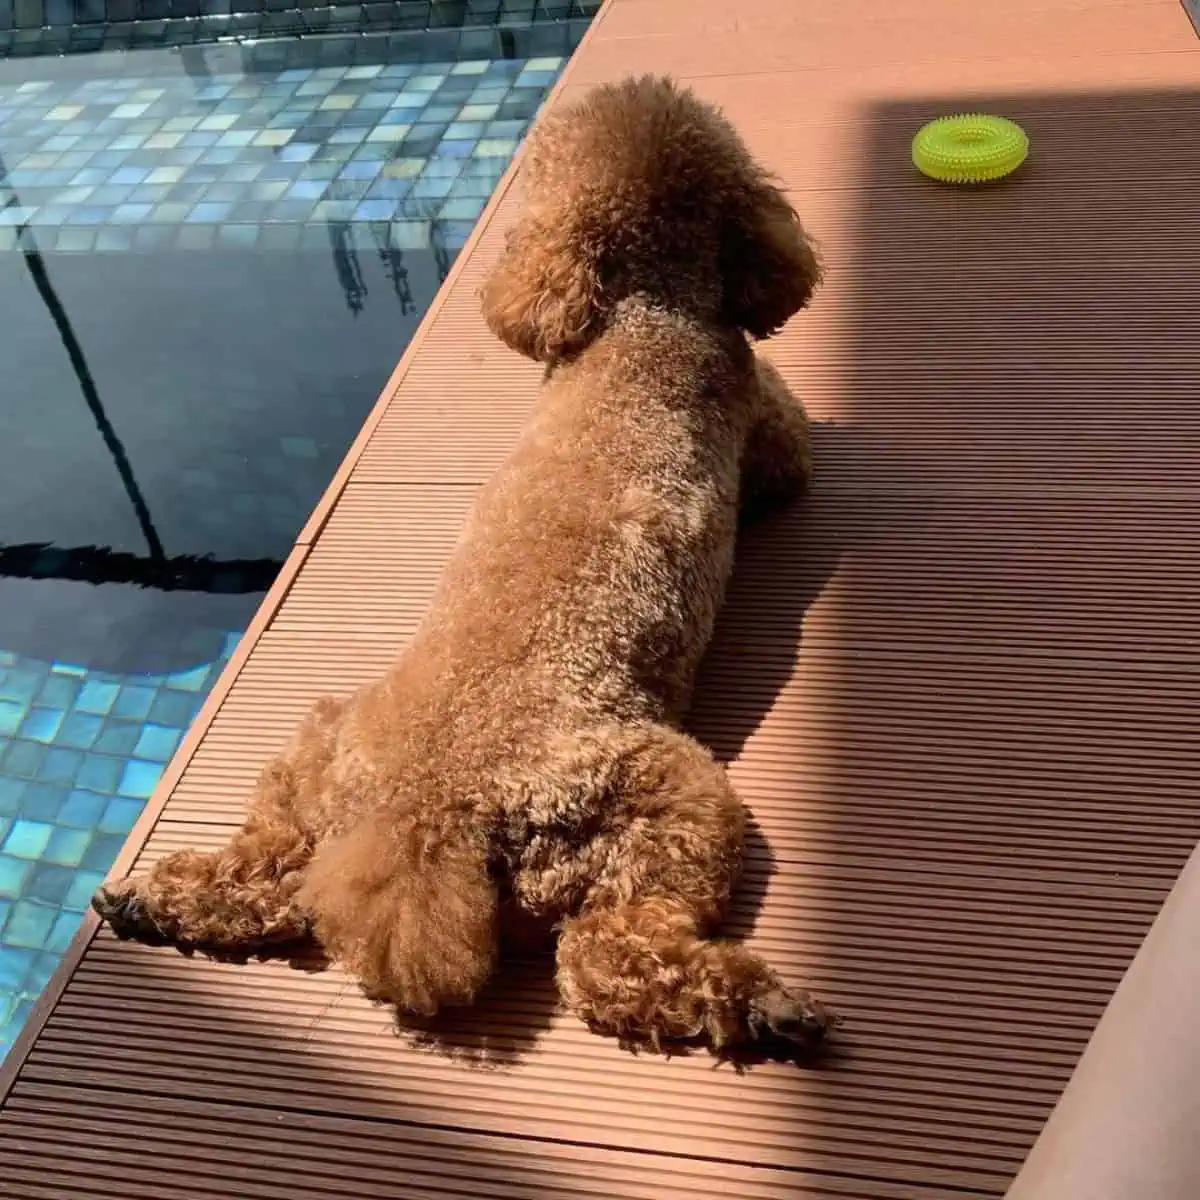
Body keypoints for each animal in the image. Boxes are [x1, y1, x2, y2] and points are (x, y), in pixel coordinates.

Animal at [96, 72, 835, 1051]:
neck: (646, 309)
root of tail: (419, 821)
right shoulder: (771, 431)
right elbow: (792, 451)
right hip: (673, 798)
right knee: (607, 959)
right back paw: (760, 1006)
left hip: (315, 750)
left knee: (278, 877)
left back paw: (152, 901)